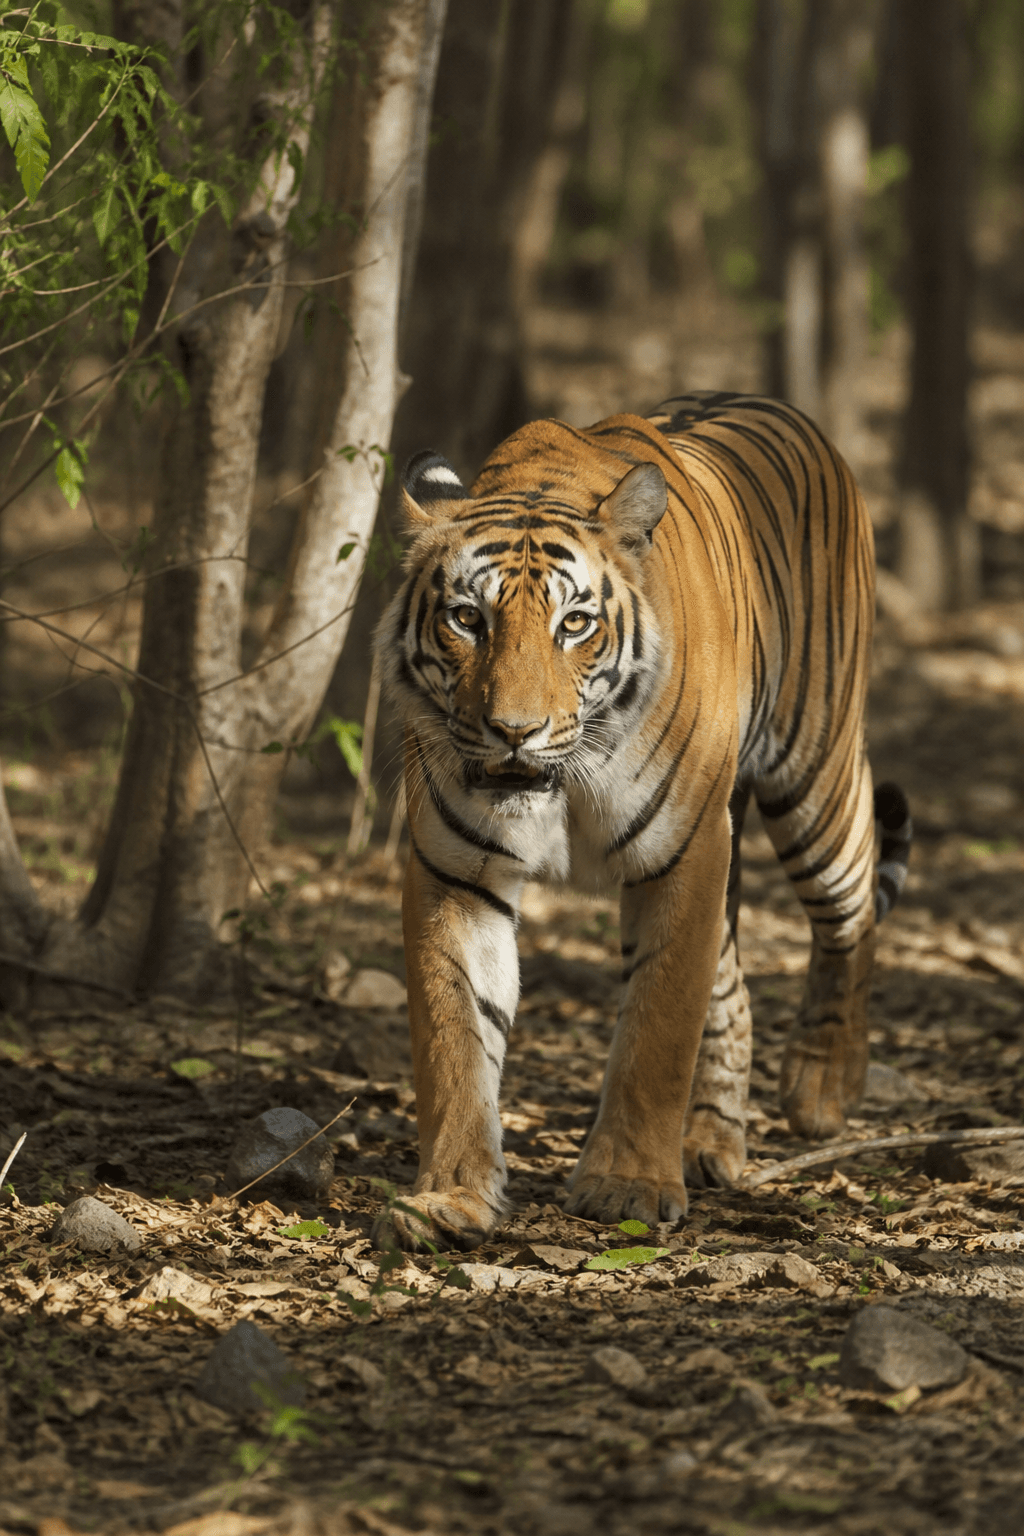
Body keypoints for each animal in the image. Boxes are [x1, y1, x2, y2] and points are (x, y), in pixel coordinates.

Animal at [373, 391, 911, 1253]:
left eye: (574, 624)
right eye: (466, 619)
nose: (513, 730)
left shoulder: (684, 854)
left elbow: (658, 1029)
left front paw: (626, 1186)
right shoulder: (454, 873)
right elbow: (455, 1038)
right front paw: (449, 1199)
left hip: (815, 777)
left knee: (851, 909)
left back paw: (822, 1085)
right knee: (734, 989)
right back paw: (709, 1143)